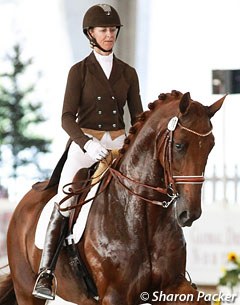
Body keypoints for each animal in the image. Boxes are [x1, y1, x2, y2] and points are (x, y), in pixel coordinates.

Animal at [0, 90, 226, 304]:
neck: (142, 217)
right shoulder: (114, 295)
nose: (190, 213)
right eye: (179, 145)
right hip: (27, 291)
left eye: (211, 146)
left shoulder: (171, 287)